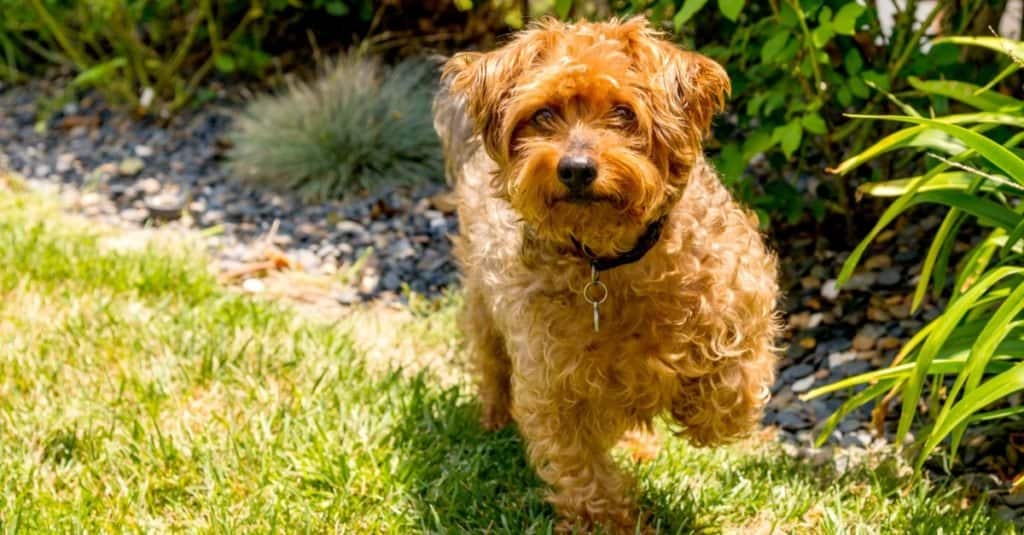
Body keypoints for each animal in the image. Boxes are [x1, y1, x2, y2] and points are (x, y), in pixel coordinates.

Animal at [432, 16, 774, 528]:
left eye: (623, 112)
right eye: (543, 114)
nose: (575, 169)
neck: (612, 262)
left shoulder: (743, 300)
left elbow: (731, 391)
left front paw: (695, 407)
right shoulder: (553, 385)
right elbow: (580, 466)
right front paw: (610, 520)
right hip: (482, 307)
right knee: (491, 365)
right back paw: (492, 420)